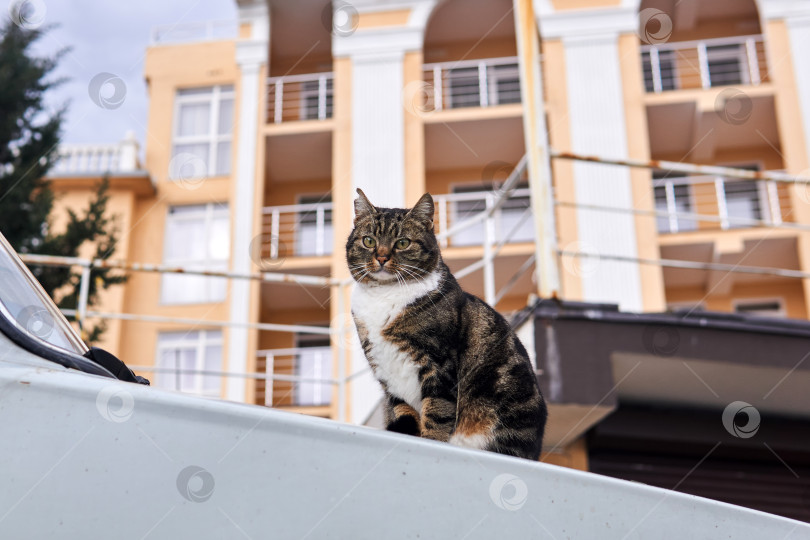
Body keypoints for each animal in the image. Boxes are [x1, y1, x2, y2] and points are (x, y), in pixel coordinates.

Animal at [344, 189, 548, 460]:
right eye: (368, 241)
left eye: (402, 243)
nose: (382, 257)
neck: (384, 295)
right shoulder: (387, 376)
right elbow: (402, 411)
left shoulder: (439, 362)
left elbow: (438, 412)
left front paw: (431, 443)